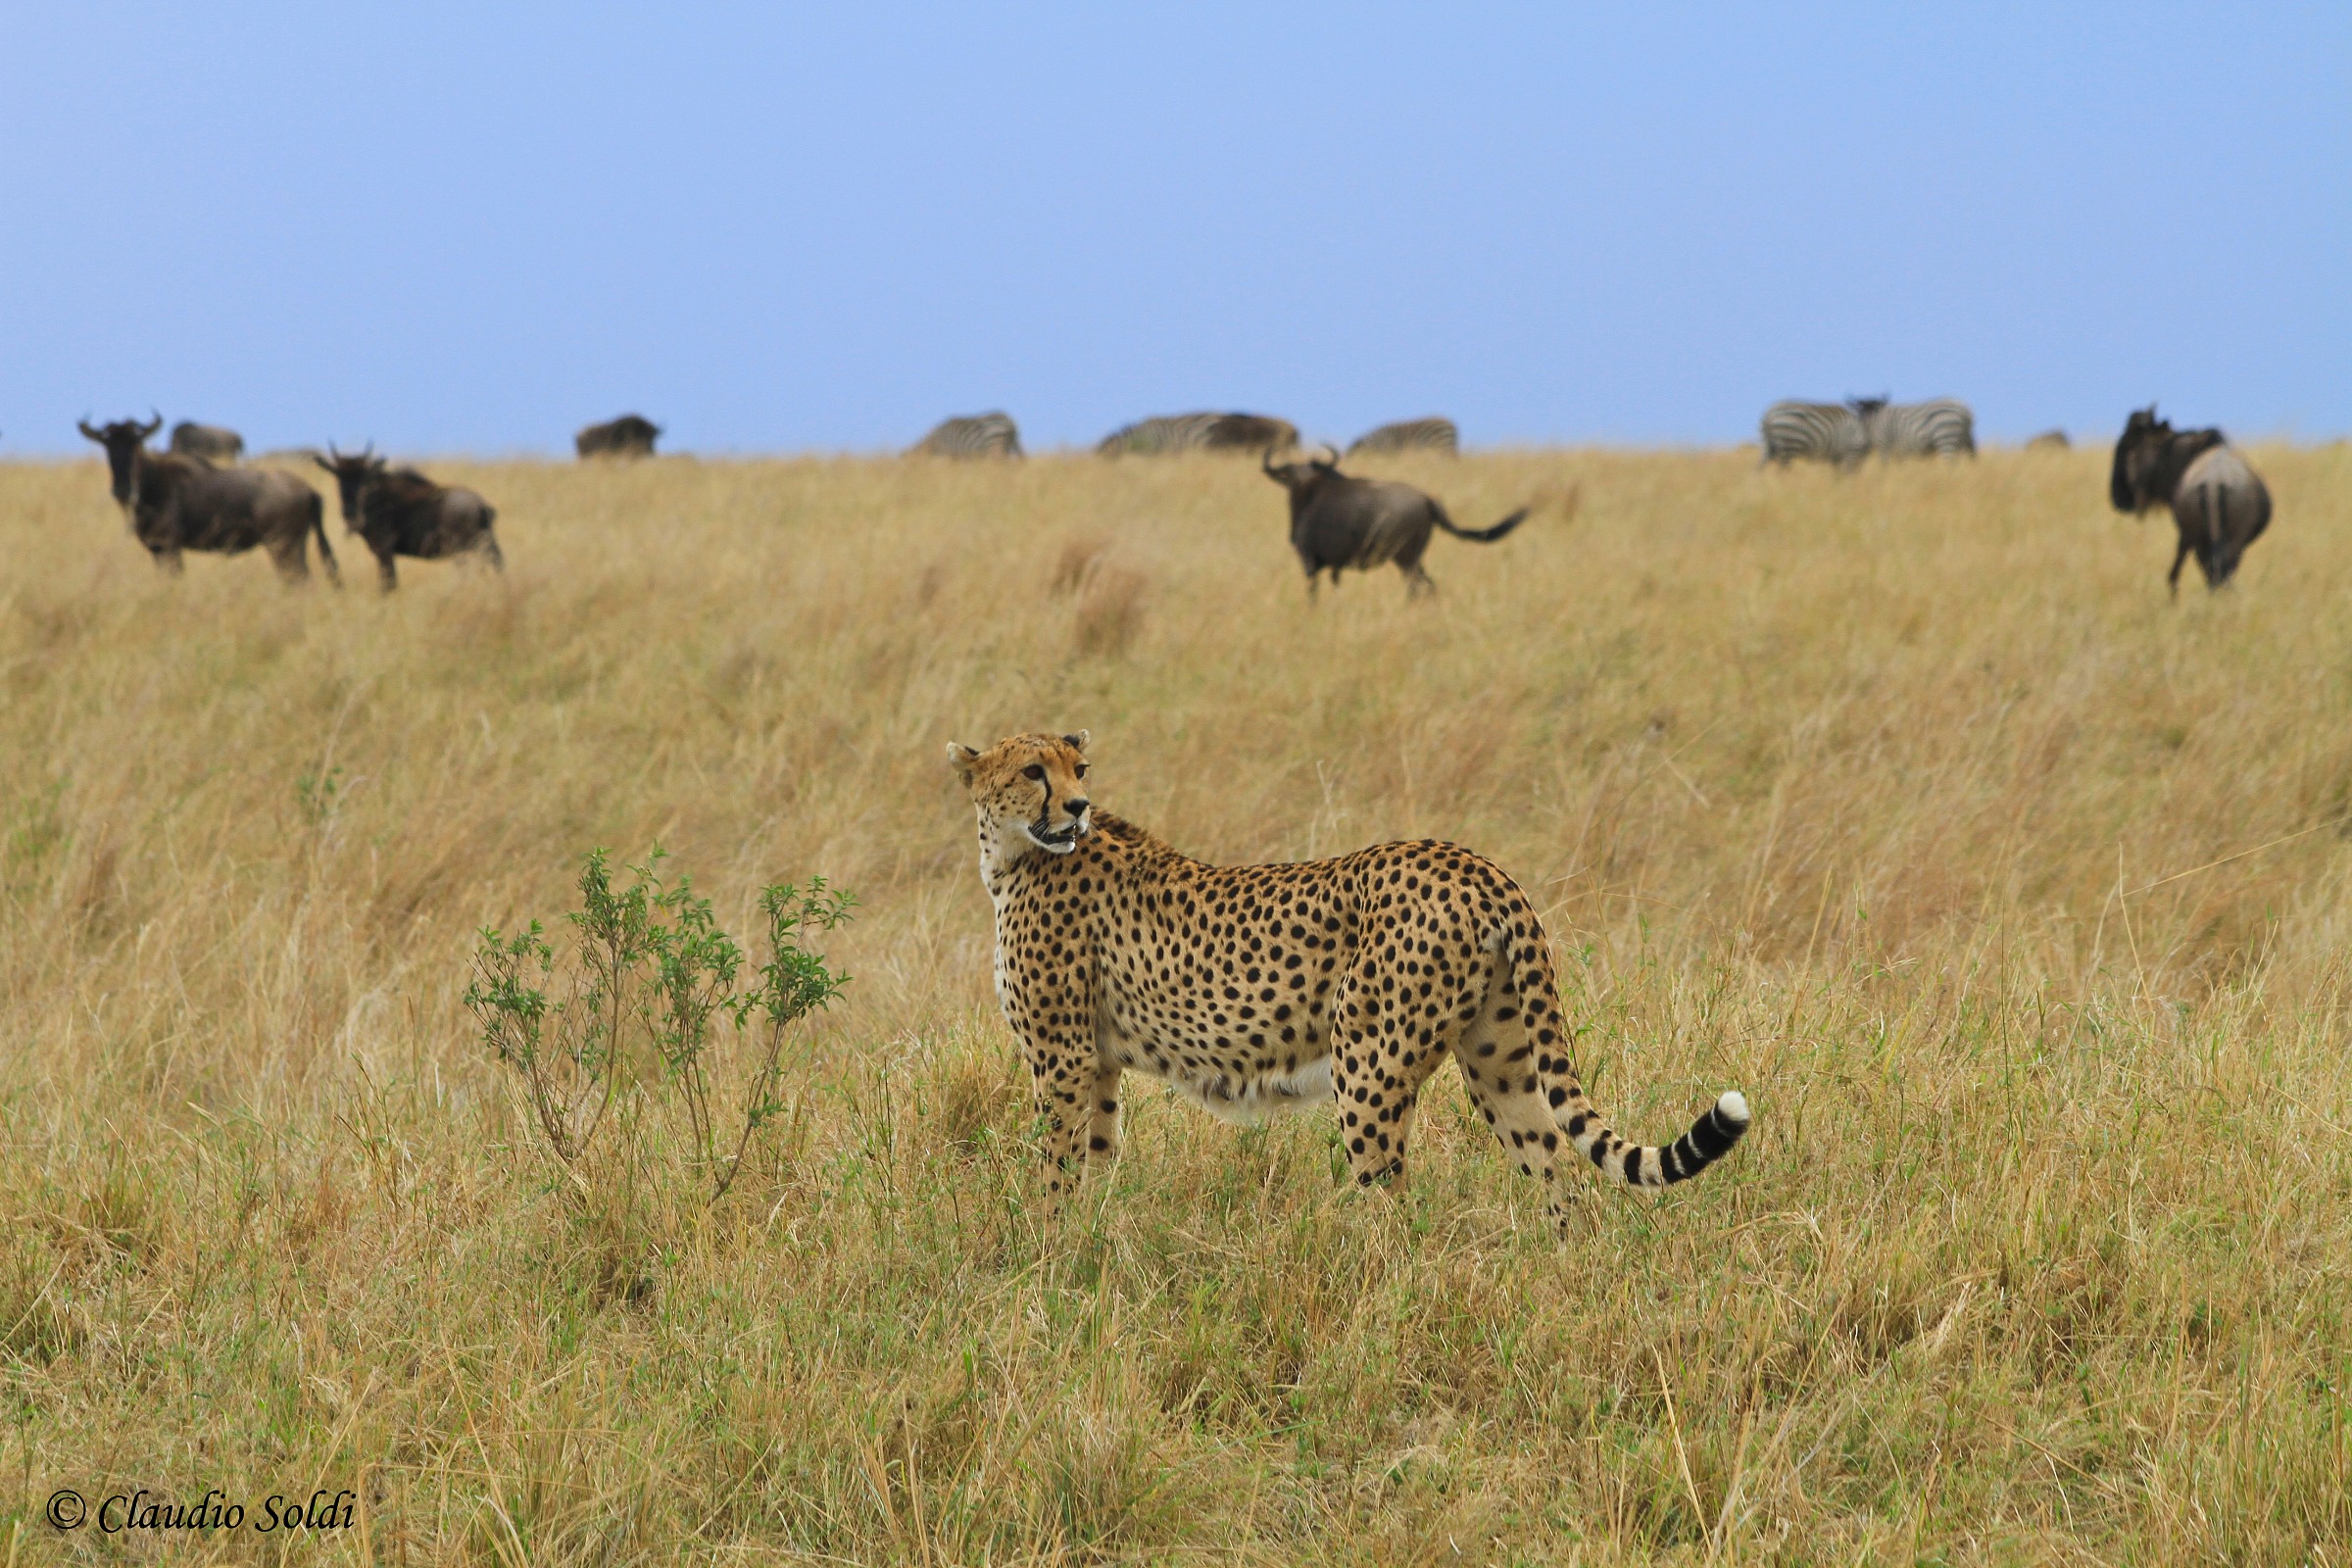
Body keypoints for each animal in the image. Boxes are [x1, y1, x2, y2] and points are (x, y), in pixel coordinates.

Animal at [946, 729, 1751, 1218]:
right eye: (1034, 772)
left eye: (1077, 770)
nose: (1079, 807)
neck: (1014, 855)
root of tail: (1472, 861)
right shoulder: (1099, 1061)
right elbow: (1096, 1158)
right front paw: (1088, 1243)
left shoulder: (1064, 1057)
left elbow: (1055, 1165)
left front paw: (1047, 1249)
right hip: (1501, 1059)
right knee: (1554, 1166)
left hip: (1368, 1062)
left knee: (1393, 1206)